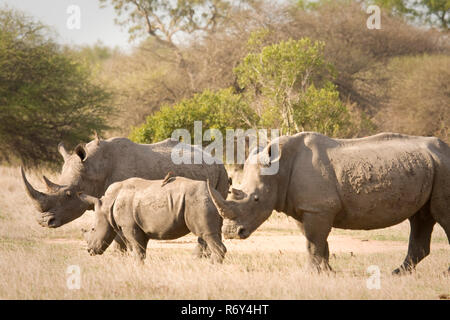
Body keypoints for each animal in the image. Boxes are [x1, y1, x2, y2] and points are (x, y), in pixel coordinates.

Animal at [78, 175, 225, 262]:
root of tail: (213, 192)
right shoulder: (142, 227)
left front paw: (137, 267)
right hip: (206, 202)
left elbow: (137, 250)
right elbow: (141, 250)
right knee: (210, 234)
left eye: (93, 229)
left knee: (206, 234)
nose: (89, 251)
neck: (108, 204)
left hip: (199, 202)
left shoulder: (129, 226)